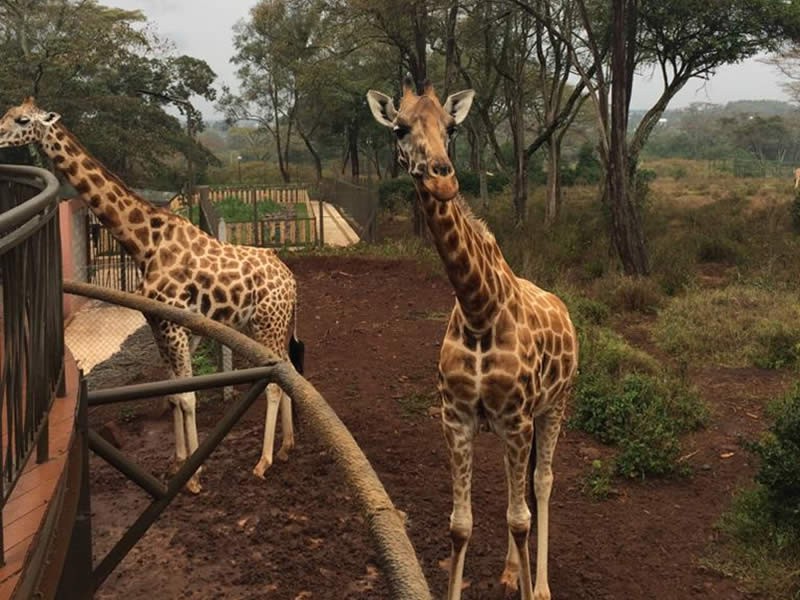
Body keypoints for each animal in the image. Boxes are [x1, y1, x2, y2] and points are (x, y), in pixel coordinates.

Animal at [0, 98, 304, 492]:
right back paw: (286, 447)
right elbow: (174, 393)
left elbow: (188, 397)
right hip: (261, 324)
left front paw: (195, 476)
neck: (145, 244)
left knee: (274, 383)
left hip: (269, 323)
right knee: (286, 371)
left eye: (21, 120)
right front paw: (178, 463)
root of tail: (291, 278)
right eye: (6, 114)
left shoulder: (174, 326)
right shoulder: (160, 323)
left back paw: (263, 461)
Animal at [366, 81, 580, 600]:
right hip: (510, 424)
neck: (481, 309)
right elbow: (461, 524)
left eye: (452, 127)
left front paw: (531, 590)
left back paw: (540, 584)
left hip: (555, 405)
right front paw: (504, 575)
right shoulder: (459, 418)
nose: (443, 179)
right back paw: (510, 571)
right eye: (399, 128)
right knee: (516, 488)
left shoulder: (519, 418)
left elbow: (521, 518)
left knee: (542, 482)